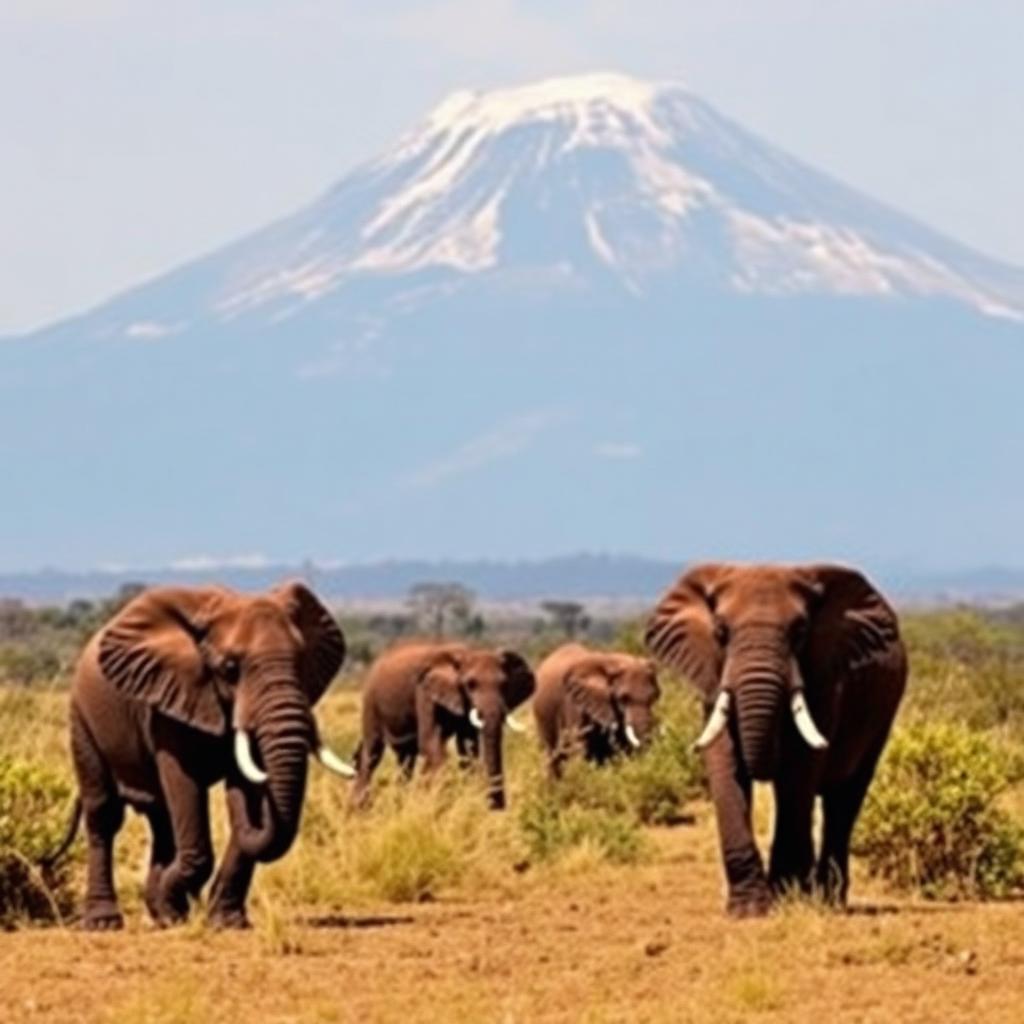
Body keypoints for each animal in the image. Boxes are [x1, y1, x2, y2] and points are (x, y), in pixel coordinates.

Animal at [60, 581, 353, 930]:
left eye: (302, 662)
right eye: (229, 669)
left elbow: (240, 790)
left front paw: (226, 922)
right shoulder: (169, 703)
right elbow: (185, 783)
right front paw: (179, 905)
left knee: (162, 817)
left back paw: (164, 914)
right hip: (82, 719)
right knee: (104, 814)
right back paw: (107, 922)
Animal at [352, 642, 535, 809]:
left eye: (504, 685)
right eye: (470, 684)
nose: (498, 809)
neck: (465, 653)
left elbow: (468, 748)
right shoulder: (424, 692)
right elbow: (431, 742)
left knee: (405, 759)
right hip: (370, 702)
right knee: (372, 754)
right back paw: (360, 809)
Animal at [533, 643, 661, 777]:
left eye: (654, 696)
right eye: (623, 698)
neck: (611, 661)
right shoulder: (574, 704)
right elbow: (580, 746)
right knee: (551, 754)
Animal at [645, 563, 906, 917]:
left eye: (800, 631)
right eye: (720, 632)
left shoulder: (824, 680)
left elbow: (798, 768)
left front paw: (785, 899)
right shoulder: (713, 675)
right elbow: (723, 762)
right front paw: (748, 910)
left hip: (883, 714)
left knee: (844, 798)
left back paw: (827, 900)